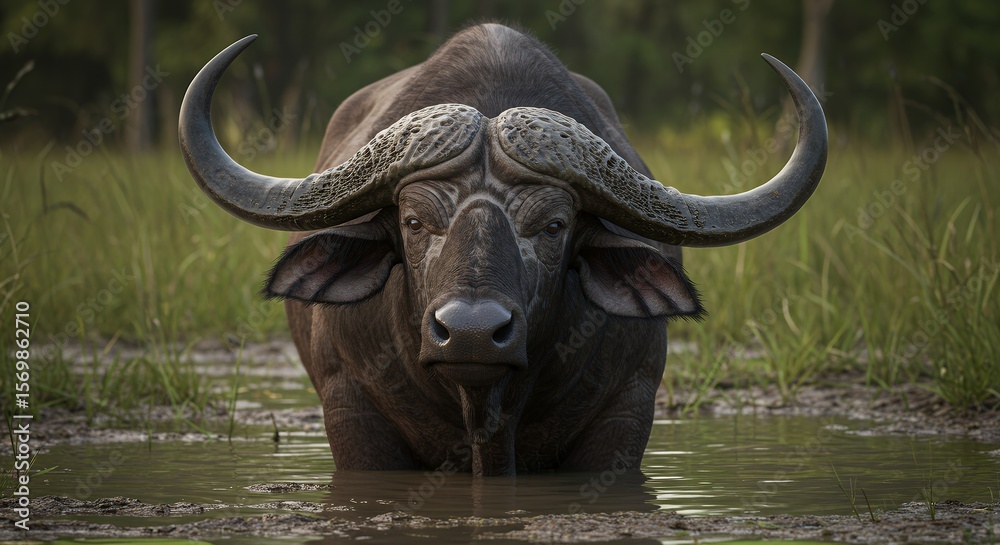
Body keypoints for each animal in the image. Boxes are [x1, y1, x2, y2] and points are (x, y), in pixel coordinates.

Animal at [179, 24, 826, 476]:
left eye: (554, 224)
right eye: (413, 221)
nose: (470, 332)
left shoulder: (628, 409)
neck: (487, 407)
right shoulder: (350, 410)